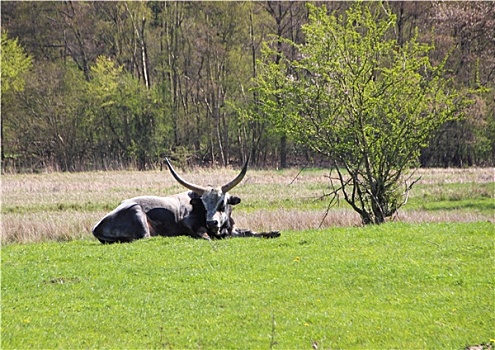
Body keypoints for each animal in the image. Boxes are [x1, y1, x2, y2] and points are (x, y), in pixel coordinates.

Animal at [91, 159, 280, 243]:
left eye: (222, 203)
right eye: (204, 204)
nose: (212, 222)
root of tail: (96, 227)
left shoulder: (232, 229)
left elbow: (250, 232)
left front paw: (273, 232)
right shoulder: (190, 224)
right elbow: (205, 236)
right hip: (136, 210)